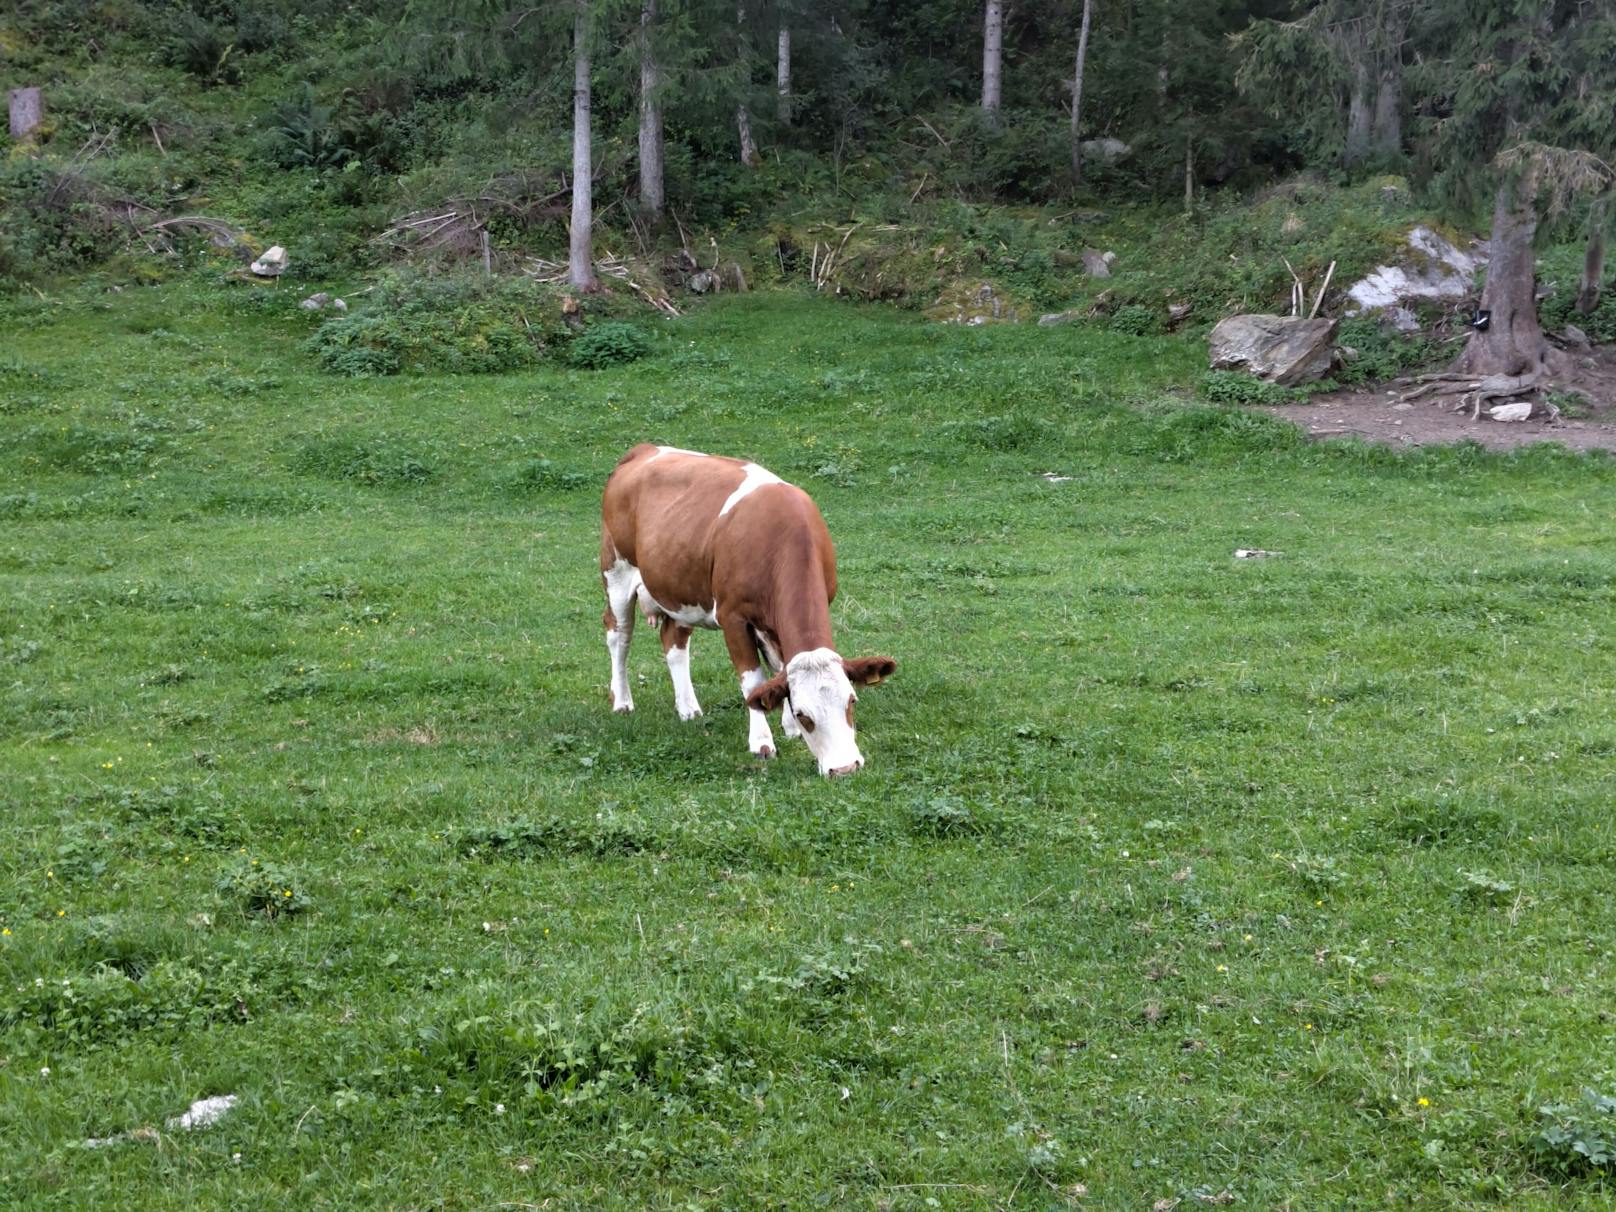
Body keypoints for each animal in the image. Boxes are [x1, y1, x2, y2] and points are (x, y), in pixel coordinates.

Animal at [601, 446, 898, 778]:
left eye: (852, 701)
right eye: (804, 714)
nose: (845, 768)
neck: (783, 536)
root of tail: (645, 449)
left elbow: (781, 668)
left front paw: (787, 728)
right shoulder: (733, 617)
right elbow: (754, 683)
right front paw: (762, 742)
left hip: (680, 589)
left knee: (674, 642)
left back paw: (688, 708)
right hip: (615, 571)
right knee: (619, 637)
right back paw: (622, 701)